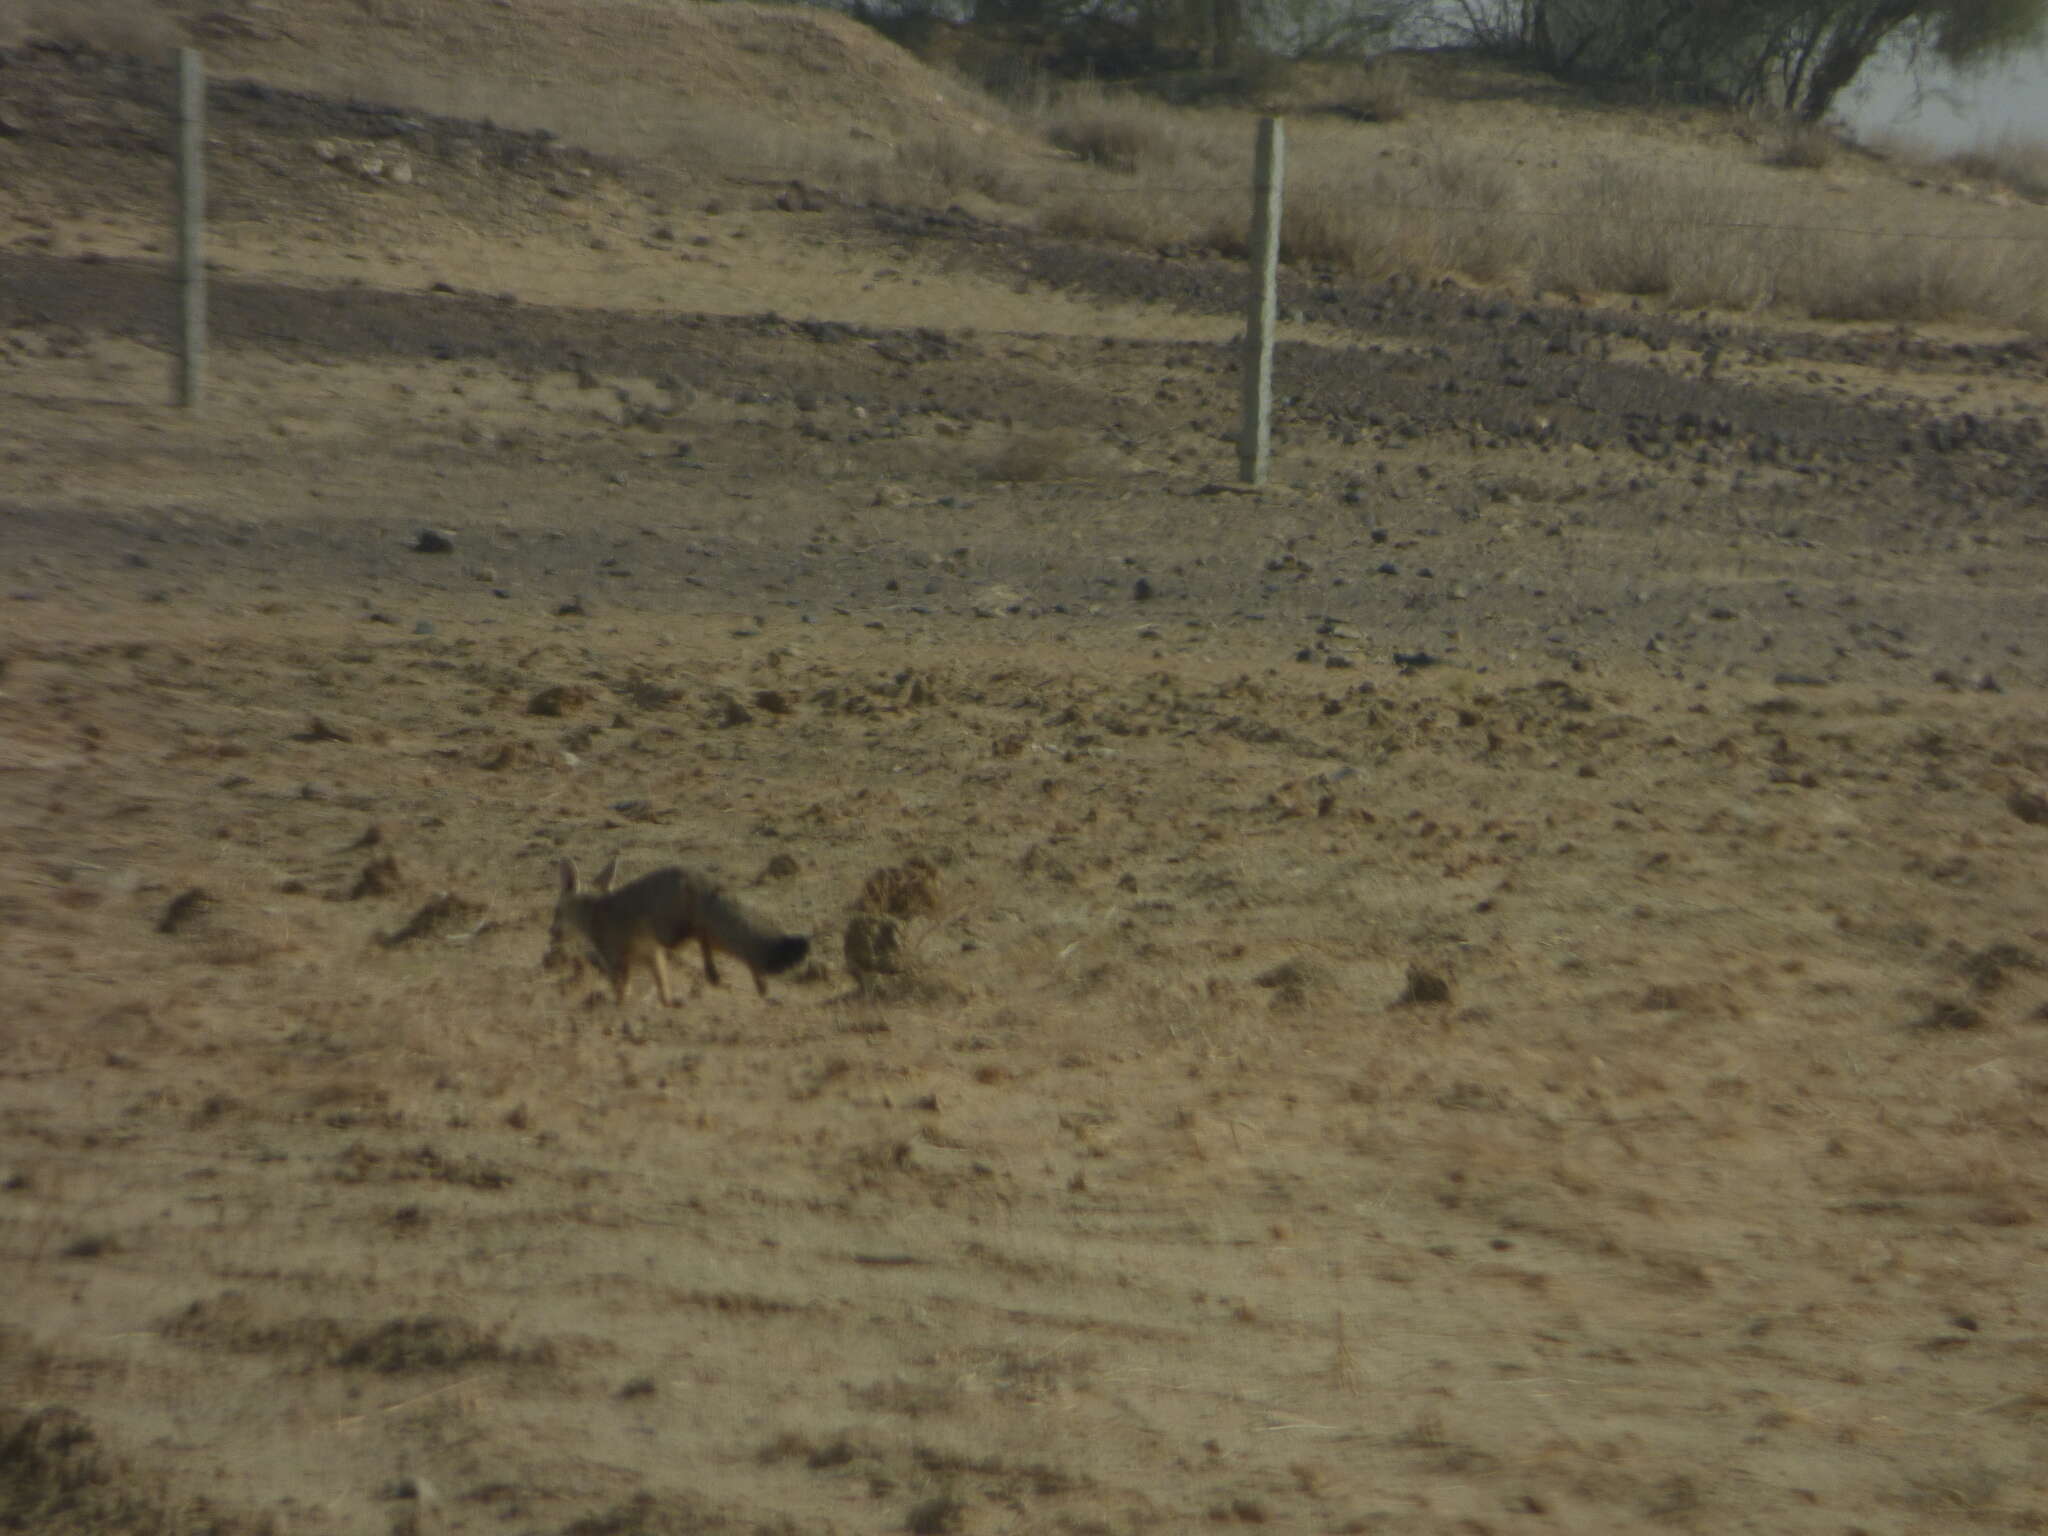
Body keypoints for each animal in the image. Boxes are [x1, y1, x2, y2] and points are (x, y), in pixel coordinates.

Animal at [552, 856, 806, 1011]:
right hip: (696, 934)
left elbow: (622, 990)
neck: (595, 909)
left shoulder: (617, 960)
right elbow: (662, 987)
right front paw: (668, 1004)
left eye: (555, 913)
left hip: (671, 934)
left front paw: (619, 1008)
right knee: (742, 947)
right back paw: (753, 982)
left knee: (705, 934)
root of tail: (697, 876)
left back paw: (716, 973)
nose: (552, 934)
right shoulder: (653, 955)